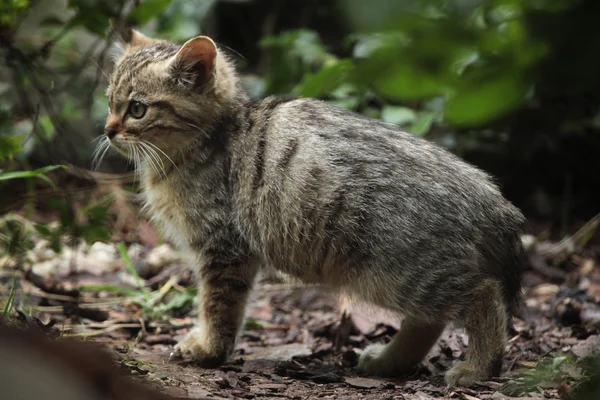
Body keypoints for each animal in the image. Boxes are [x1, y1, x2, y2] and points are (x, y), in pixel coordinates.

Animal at [97, 29, 520, 386]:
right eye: (110, 103)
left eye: (137, 109)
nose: (108, 129)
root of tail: (492, 196)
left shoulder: (223, 248)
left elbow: (218, 306)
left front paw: (208, 349)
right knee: (428, 322)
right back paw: (388, 361)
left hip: (404, 272)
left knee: (484, 297)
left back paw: (479, 367)